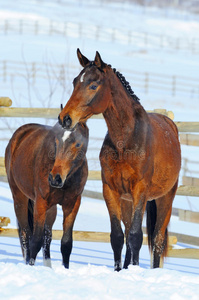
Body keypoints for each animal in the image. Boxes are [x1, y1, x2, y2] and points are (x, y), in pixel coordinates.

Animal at [4, 119, 88, 268]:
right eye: (56, 141)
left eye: (78, 144)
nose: (55, 178)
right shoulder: (41, 203)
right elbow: (35, 241)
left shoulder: (72, 205)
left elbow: (66, 243)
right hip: (20, 199)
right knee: (26, 234)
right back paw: (28, 263)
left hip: (51, 209)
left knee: (47, 238)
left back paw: (48, 267)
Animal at [58, 48, 181, 270]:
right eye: (74, 82)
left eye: (93, 85)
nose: (65, 118)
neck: (126, 140)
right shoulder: (111, 190)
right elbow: (118, 237)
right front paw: (119, 271)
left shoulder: (140, 190)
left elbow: (136, 236)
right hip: (127, 201)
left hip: (165, 198)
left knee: (157, 239)